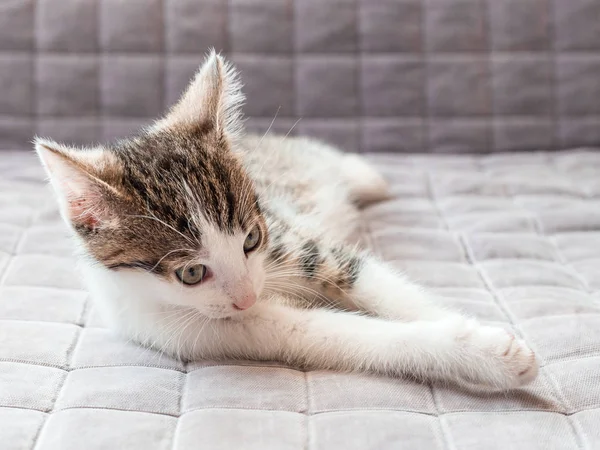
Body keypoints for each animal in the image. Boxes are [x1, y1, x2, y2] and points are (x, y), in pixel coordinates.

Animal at [35, 51, 536, 390]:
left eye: (251, 239)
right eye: (192, 273)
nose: (247, 296)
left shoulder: (292, 239)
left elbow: (377, 282)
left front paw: (479, 333)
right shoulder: (202, 329)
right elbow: (333, 334)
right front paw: (483, 353)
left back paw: (365, 176)